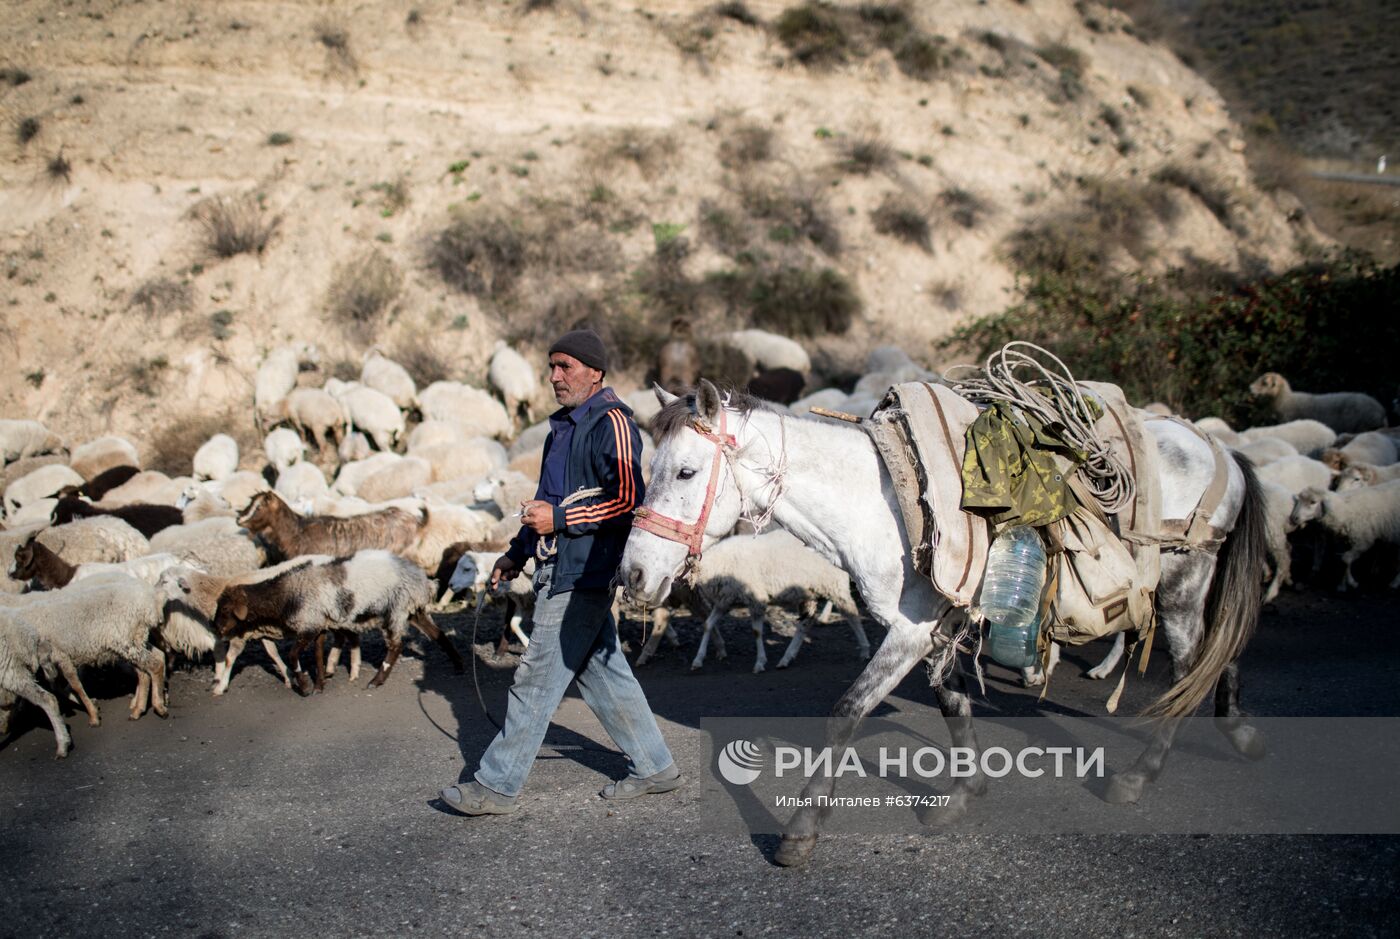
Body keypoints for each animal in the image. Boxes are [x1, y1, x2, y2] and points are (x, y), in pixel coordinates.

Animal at [212, 548, 462, 694]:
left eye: (225, 608)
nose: (217, 629)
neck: (286, 592)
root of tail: (421, 579)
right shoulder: (319, 625)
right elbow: (318, 655)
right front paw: (319, 685)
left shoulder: (309, 624)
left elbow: (293, 655)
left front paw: (304, 686)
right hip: (413, 610)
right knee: (437, 634)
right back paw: (458, 663)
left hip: (395, 609)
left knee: (395, 646)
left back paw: (376, 680)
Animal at [686, 528, 868, 677]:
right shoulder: (725, 601)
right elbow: (708, 625)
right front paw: (697, 660)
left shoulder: (756, 598)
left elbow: (756, 631)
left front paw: (760, 662)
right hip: (809, 592)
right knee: (805, 624)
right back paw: (786, 658)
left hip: (835, 585)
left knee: (852, 614)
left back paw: (864, 649)